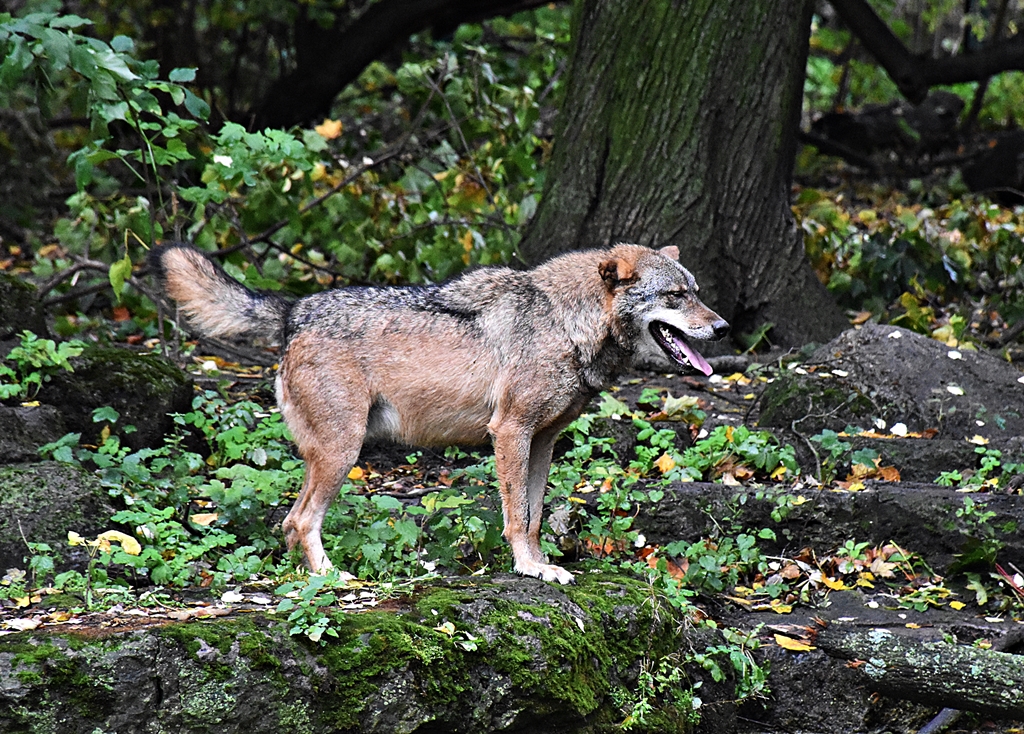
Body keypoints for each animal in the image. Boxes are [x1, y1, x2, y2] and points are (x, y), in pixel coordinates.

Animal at [150, 243, 729, 584]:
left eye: (697, 292)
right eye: (675, 296)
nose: (723, 328)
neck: (566, 322)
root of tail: (296, 310)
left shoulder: (543, 441)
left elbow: (535, 515)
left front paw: (542, 563)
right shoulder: (510, 431)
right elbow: (516, 516)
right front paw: (529, 570)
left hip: (330, 455)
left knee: (290, 524)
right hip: (342, 452)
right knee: (300, 520)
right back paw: (334, 580)